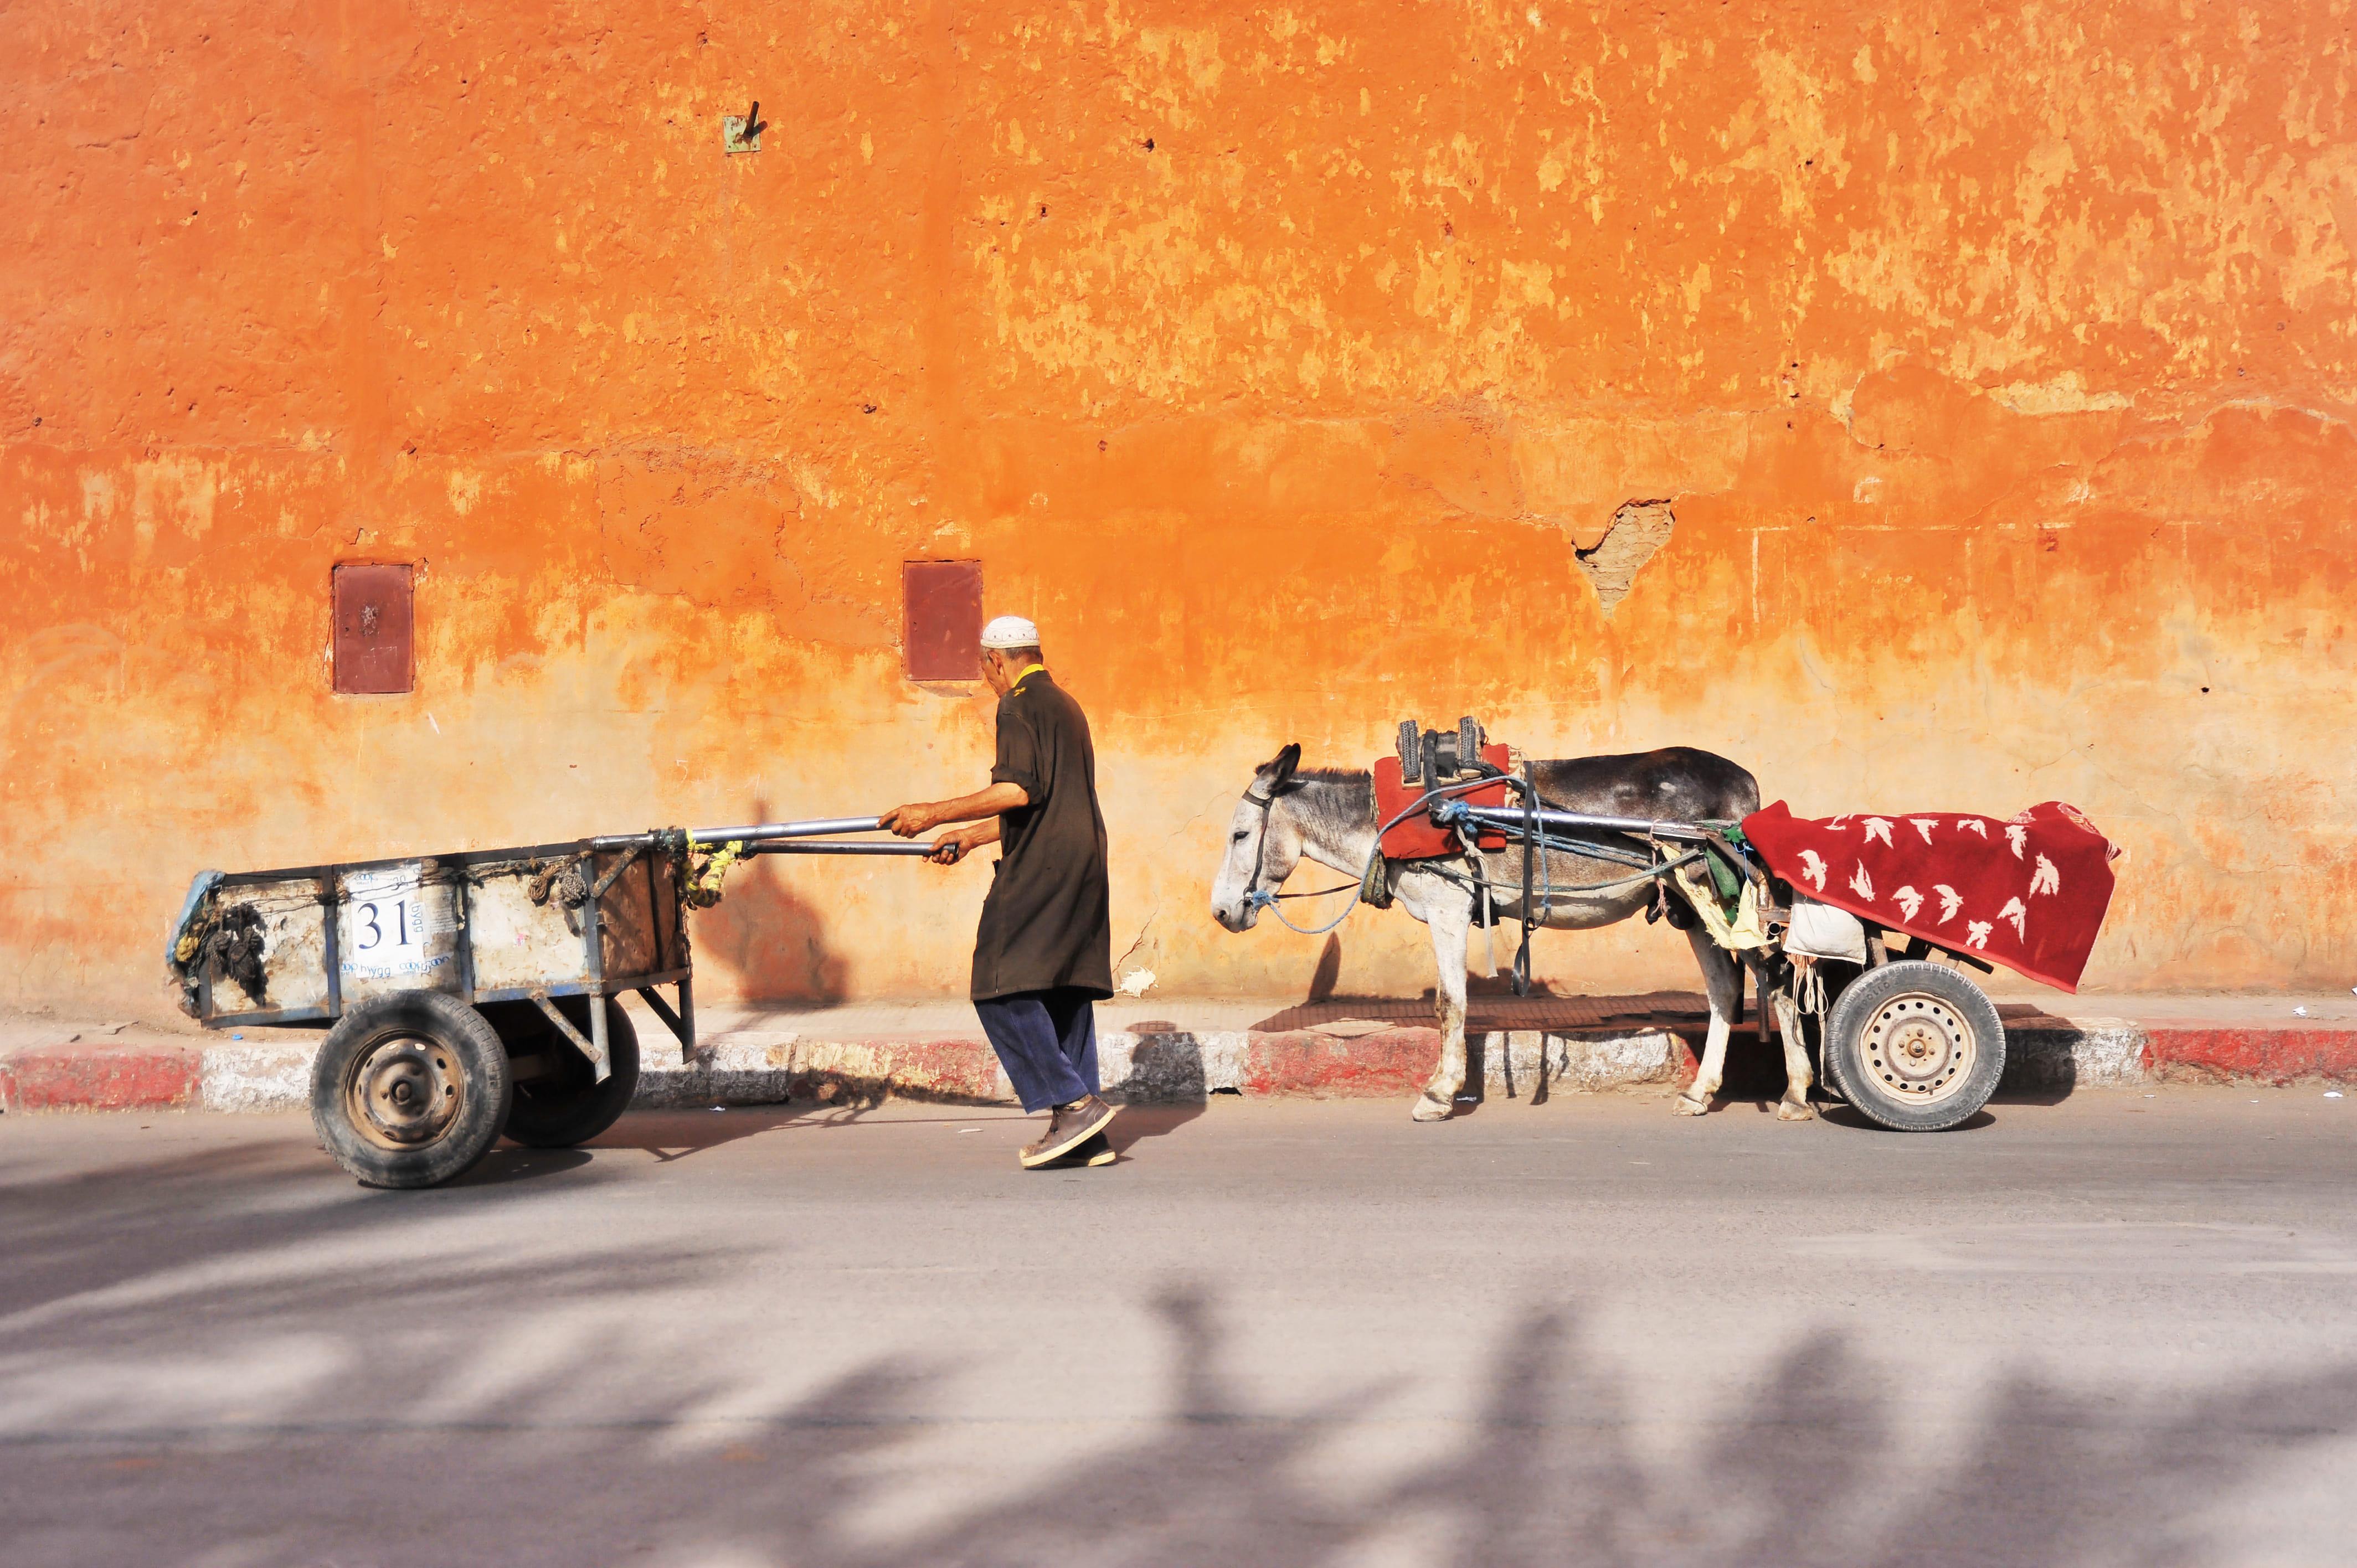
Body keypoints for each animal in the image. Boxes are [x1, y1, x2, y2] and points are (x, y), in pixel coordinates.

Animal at [1210, 742, 1811, 1123]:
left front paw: (1438, 1094)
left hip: (1723, 895)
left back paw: (1796, 1095)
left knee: (1780, 979)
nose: (1219, 913)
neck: (1394, 819)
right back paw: (1700, 1094)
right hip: (1692, 905)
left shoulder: (1448, 911)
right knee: (1725, 991)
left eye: (1240, 835)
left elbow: (1450, 1004)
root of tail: (1748, 786)